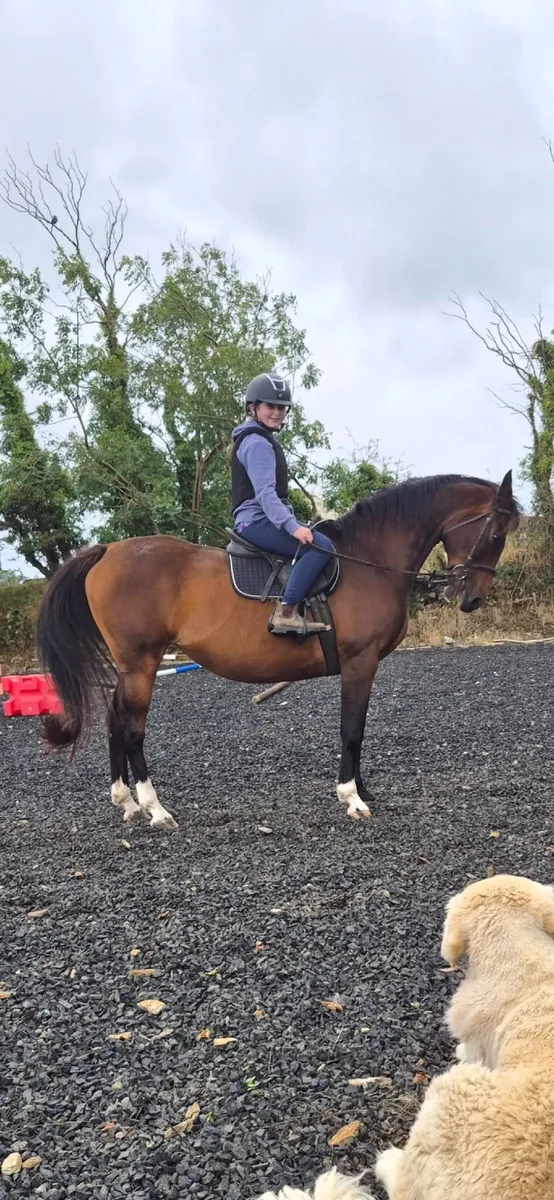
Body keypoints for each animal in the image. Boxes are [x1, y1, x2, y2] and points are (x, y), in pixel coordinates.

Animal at [36, 471, 519, 831]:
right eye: (496, 532)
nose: (473, 598)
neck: (369, 560)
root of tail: (107, 552)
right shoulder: (359, 662)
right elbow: (352, 729)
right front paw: (351, 797)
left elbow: (358, 729)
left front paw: (362, 789)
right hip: (142, 663)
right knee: (132, 728)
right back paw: (155, 808)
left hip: (131, 666)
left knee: (115, 720)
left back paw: (126, 801)